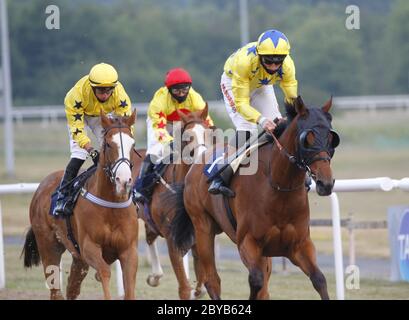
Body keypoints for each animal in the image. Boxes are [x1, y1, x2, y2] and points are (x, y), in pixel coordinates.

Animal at [21, 110, 139, 300]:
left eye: (132, 144)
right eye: (108, 144)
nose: (124, 181)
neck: (111, 205)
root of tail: (41, 187)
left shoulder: (129, 250)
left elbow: (129, 287)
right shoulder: (89, 247)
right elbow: (104, 271)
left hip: (78, 259)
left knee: (72, 288)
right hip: (48, 246)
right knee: (55, 289)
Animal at [135, 105, 209, 300]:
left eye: (208, 133)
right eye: (188, 137)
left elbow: (201, 287)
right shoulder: (172, 238)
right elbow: (184, 289)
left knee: (150, 236)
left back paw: (155, 276)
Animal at [169, 97, 338, 300]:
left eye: (331, 138)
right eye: (307, 138)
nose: (325, 183)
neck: (279, 189)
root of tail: (197, 161)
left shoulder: (299, 245)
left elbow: (319, 279)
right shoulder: (248, 243)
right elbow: (256, 280)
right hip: (203, 227)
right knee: (212, 280)